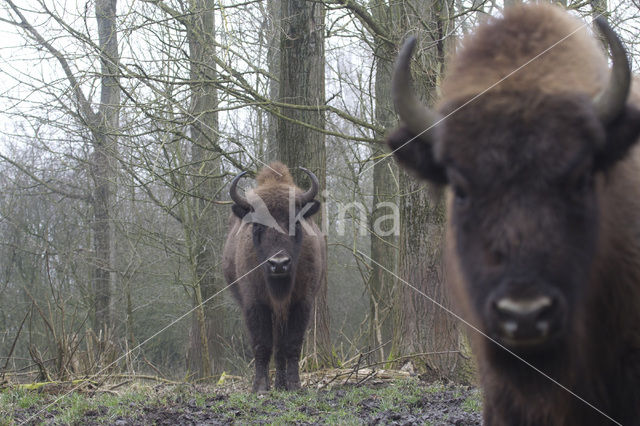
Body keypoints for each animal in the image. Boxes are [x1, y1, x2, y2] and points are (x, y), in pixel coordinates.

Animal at [224, 162, 324, 392]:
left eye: (296, 223)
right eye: (257, 225)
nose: (279, 263)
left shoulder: (301, 303)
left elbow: (292, 344)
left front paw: (295, 385)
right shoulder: (255, 304)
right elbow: (262, 344)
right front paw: (260, 387)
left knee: (280, 346)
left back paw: (281, 384)